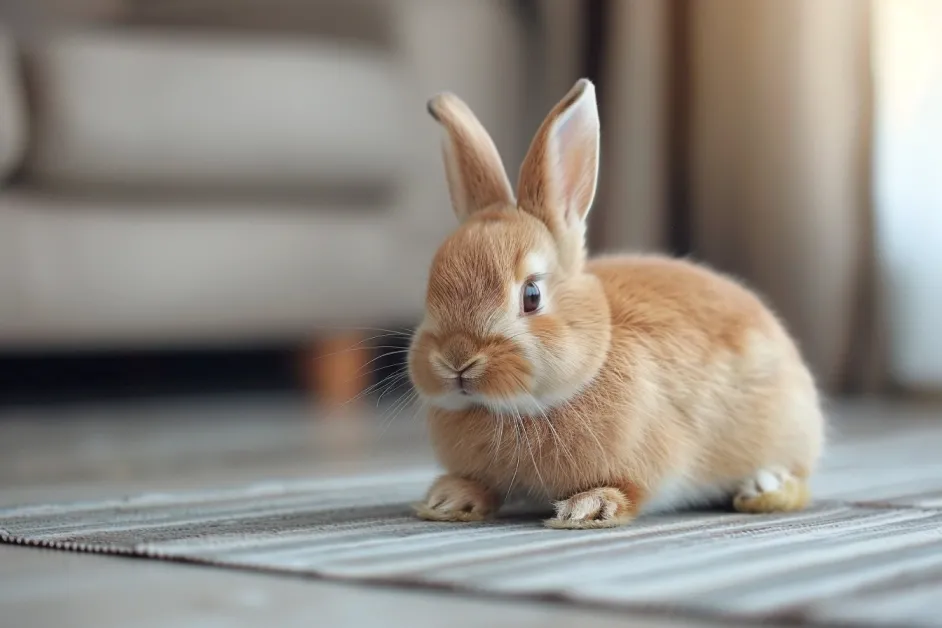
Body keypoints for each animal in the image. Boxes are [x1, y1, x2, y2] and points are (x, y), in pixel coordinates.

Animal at [408, 78, 824, 528]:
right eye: (430, 288)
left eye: (531, 296)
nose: (456, 360)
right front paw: (448, 500)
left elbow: (628, 490)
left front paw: (588, 507)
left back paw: (764, 488)